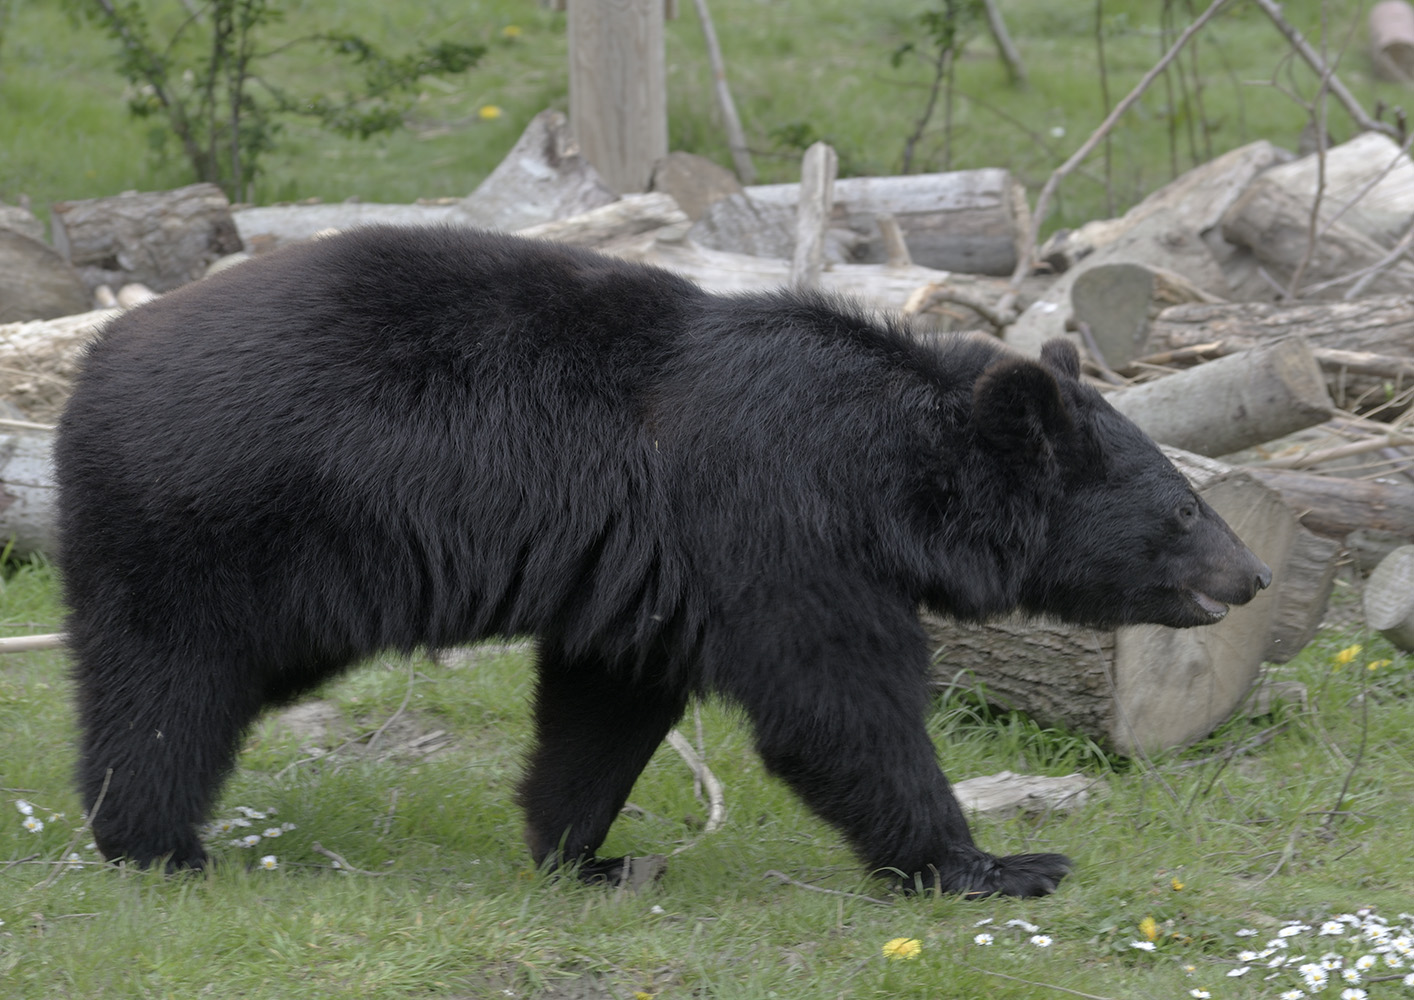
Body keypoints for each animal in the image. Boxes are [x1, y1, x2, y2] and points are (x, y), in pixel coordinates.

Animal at [55, 225, 1271, 897]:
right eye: (1181, 507)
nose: (1251, 576)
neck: (887, 469)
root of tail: (90, 362)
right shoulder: (771, 517)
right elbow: (835, 702)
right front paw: (991, 866)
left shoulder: (651, 571)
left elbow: (607, 699)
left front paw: (583, 854)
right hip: (215, 526)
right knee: (165, 689)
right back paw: (155, 843)